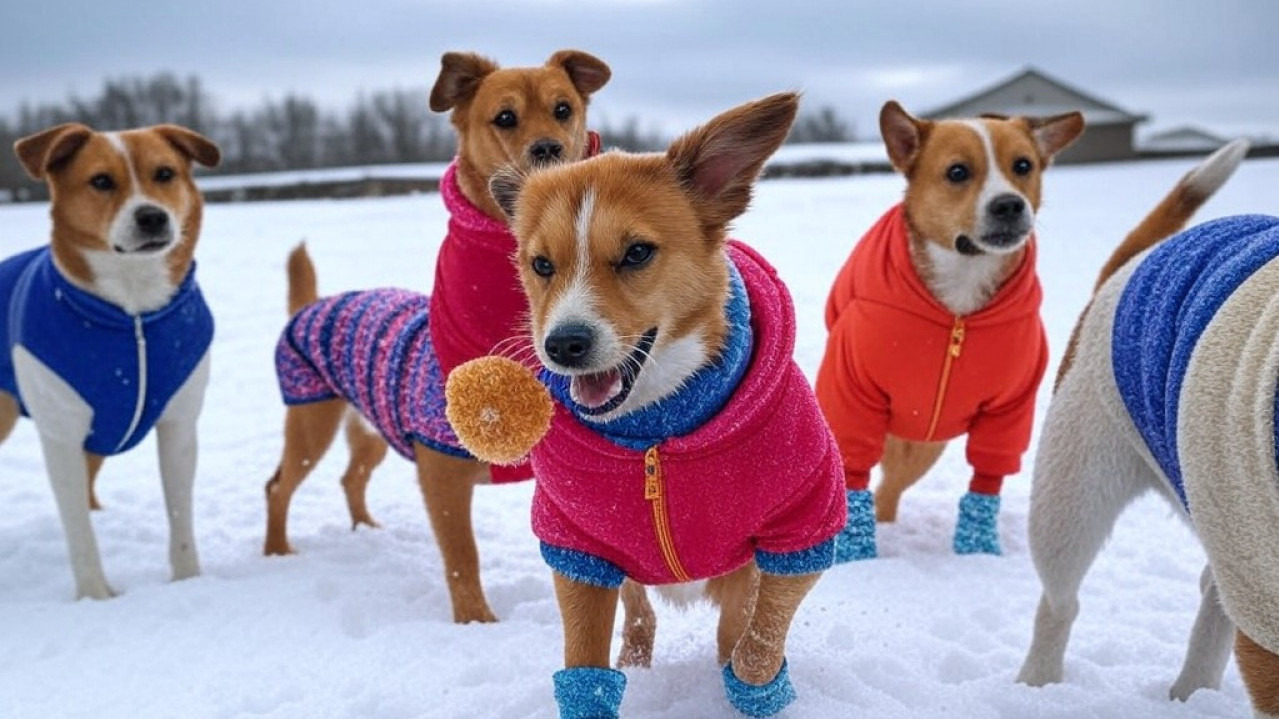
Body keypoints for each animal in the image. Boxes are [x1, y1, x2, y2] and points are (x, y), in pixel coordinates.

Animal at [2, 121, 221, 593]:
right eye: (101, 181)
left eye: (165, 173)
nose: (152, 216)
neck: (132, 308)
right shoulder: (61, 434)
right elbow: (79, 533)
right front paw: (95, 596)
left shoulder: (179, 424)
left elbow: (180, 515)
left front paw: (188, 581)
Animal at [259, 48, 608, 621]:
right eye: (505, 117)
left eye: (564, 109)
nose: (549, 150)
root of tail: (311, 305)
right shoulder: (441, 473)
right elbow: (462, 557)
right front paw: (476, 622)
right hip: (311, 421)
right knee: (277, 487)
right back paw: (276, 551)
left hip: (370, 429)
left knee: (352, 476)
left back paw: (365, 529)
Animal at [813, 102, 1084, 560]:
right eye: (958, 172)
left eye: (1023, 165)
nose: (1009, 205)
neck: (960, 297)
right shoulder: (854, 396)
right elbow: (854, 469)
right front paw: (856, 556)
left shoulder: (1009, 409)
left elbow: (988, 477)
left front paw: (979, 550)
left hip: (925, 445)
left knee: (890, 487)